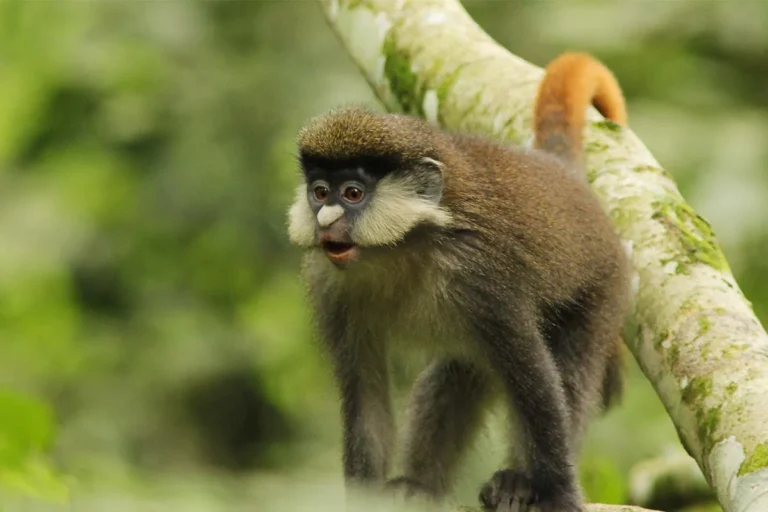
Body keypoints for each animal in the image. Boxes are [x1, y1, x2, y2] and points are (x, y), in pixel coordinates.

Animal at [286, 51, 630, 512]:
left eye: (353, 194)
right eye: (321, 192)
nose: (325, 221)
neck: (402, 249)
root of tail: (562, 175)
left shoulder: (481, 276)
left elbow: (535, 381)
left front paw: (560, 497)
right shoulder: (331, 288)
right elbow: (366, 400)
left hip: (604, 290)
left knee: (569, 371)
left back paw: (518, 482)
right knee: (455, 374)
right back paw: (421, 486)